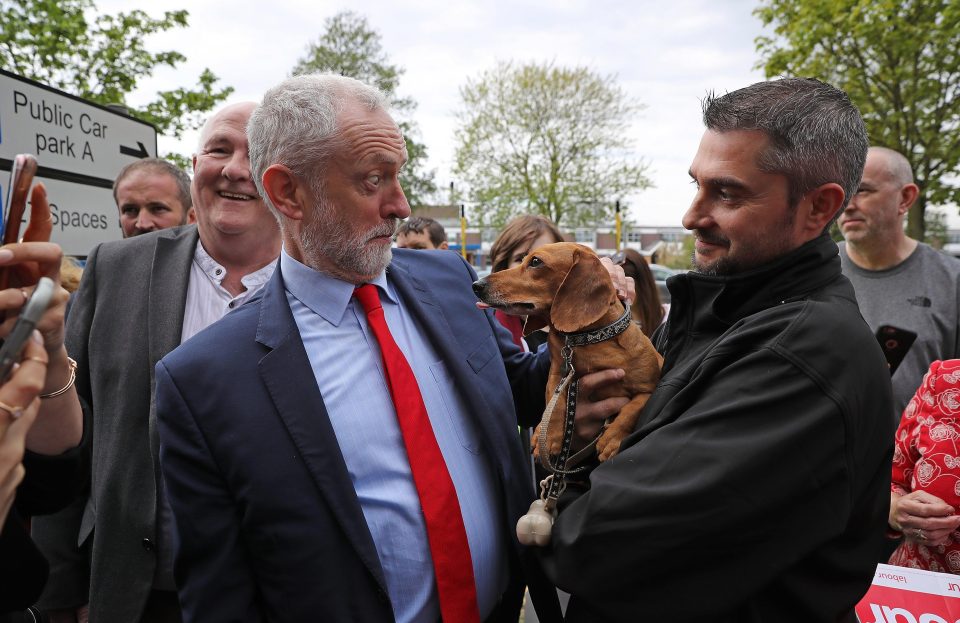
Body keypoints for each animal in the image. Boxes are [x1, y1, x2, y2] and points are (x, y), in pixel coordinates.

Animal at [470, 244, 660, 464]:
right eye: (522, 259)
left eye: (535, 261)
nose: (477, 285)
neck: (588, 341)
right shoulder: (558, 374)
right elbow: (555, 401)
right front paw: (547, 436)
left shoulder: (648, 388)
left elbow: (633, 409)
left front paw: (612, 439)